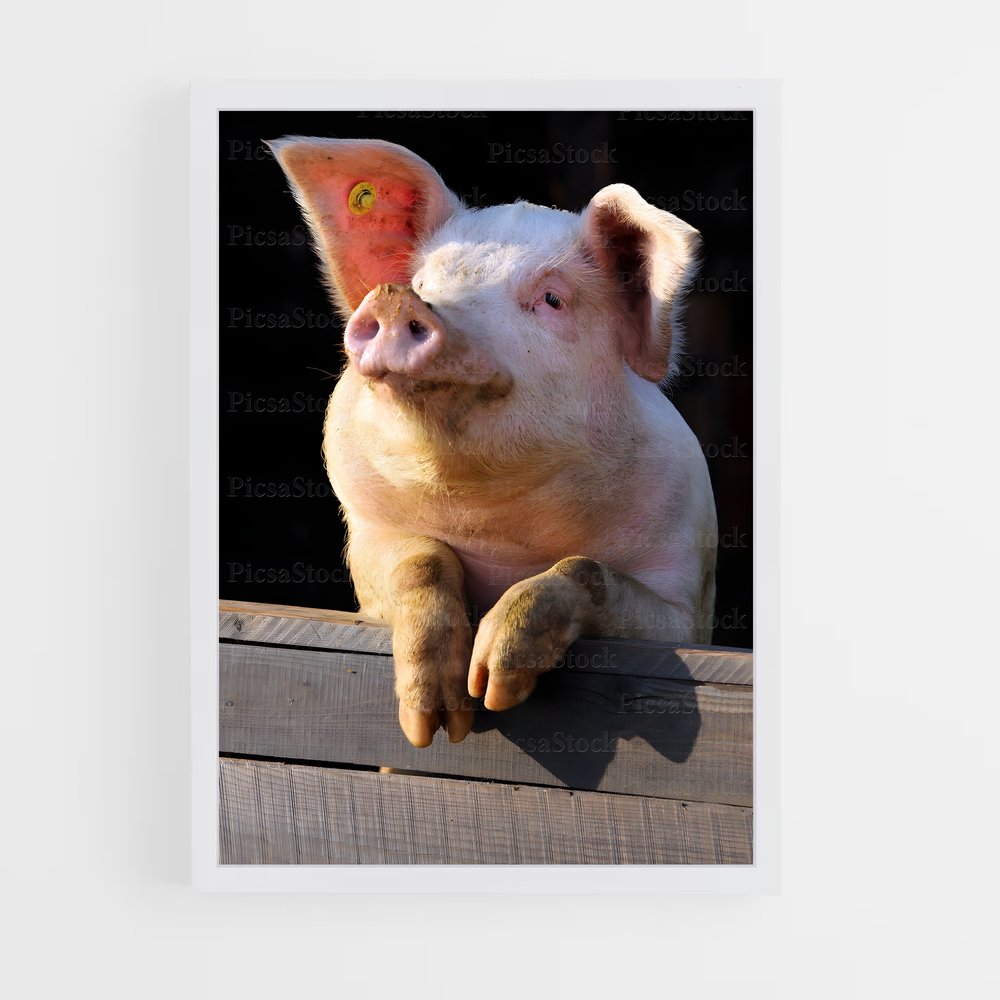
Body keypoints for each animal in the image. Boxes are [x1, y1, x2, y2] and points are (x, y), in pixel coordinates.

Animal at [267, 136, 717, 748]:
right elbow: (421, 559)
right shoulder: (368, 534)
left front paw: (494, 687)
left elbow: (584, 567)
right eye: (424, 284)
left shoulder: (682, 596)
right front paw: (433, 726)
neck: (494, 521)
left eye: (552, 299)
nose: (397, 300)